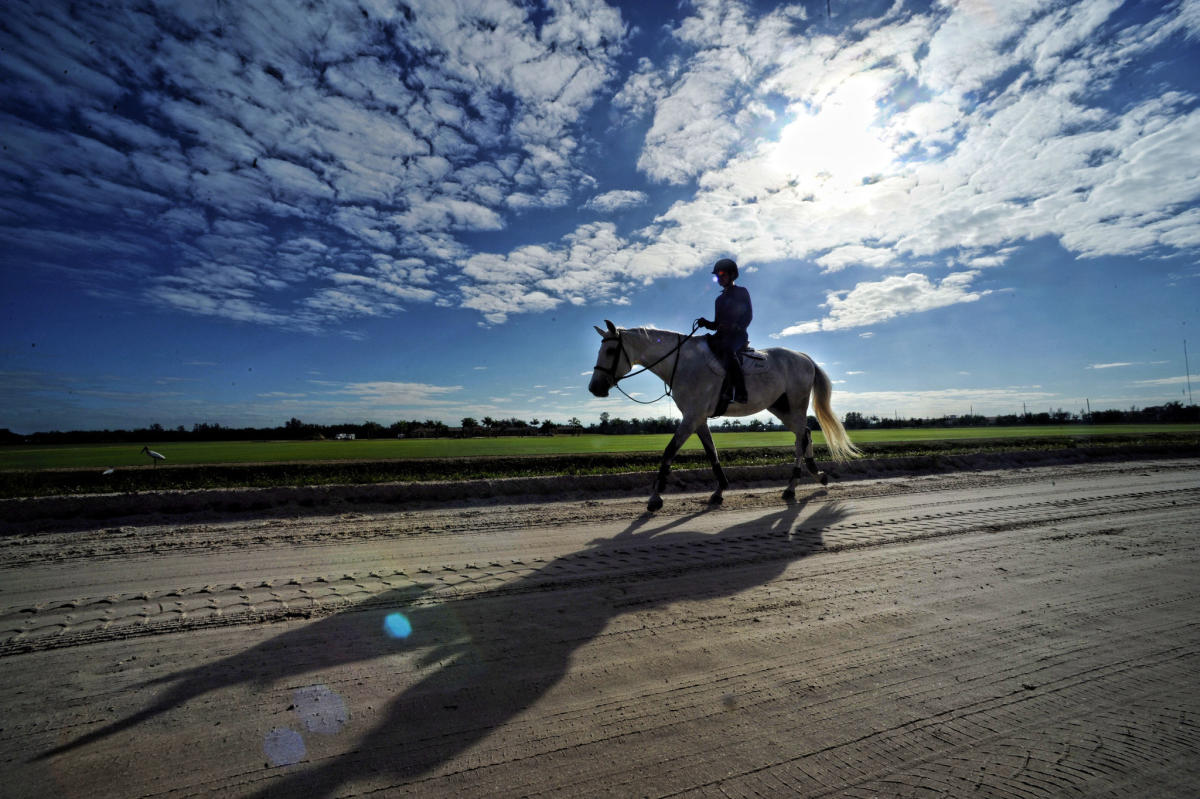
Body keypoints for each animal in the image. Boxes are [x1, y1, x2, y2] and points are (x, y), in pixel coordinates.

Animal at [588, 319, 854, 511]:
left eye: (610, 350)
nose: (594, 388)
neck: (682, 363)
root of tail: (803, 357)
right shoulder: (698, 419)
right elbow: (712, 453)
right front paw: (719, 491)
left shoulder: (691, 417)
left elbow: (669, 452)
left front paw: (655, 498)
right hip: (780, 409)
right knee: (805, 434)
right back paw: (815, 475)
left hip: (795, 406)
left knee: (801, 438)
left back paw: (792, 486)